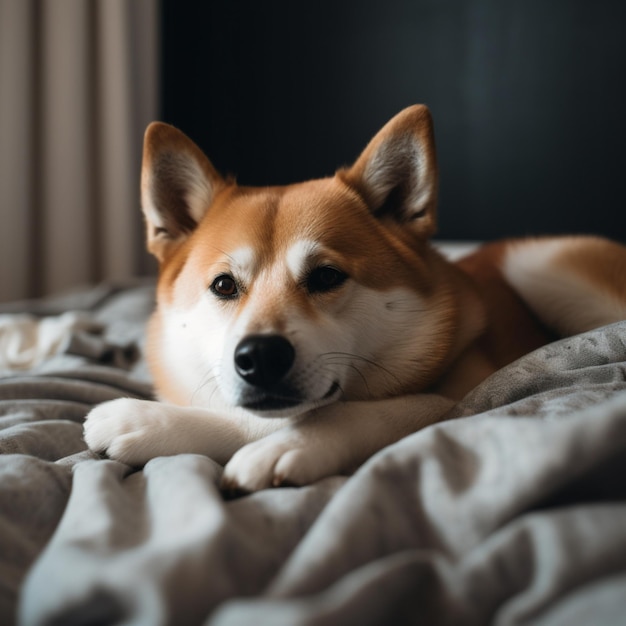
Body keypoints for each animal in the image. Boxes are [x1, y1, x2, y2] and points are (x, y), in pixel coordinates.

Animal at [83, 105, 624, 490]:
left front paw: (151, 419)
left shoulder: (461, 396)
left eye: (325, 277)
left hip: (539, 263)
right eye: (223, 286)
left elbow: (349, 410)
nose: (260, 356)